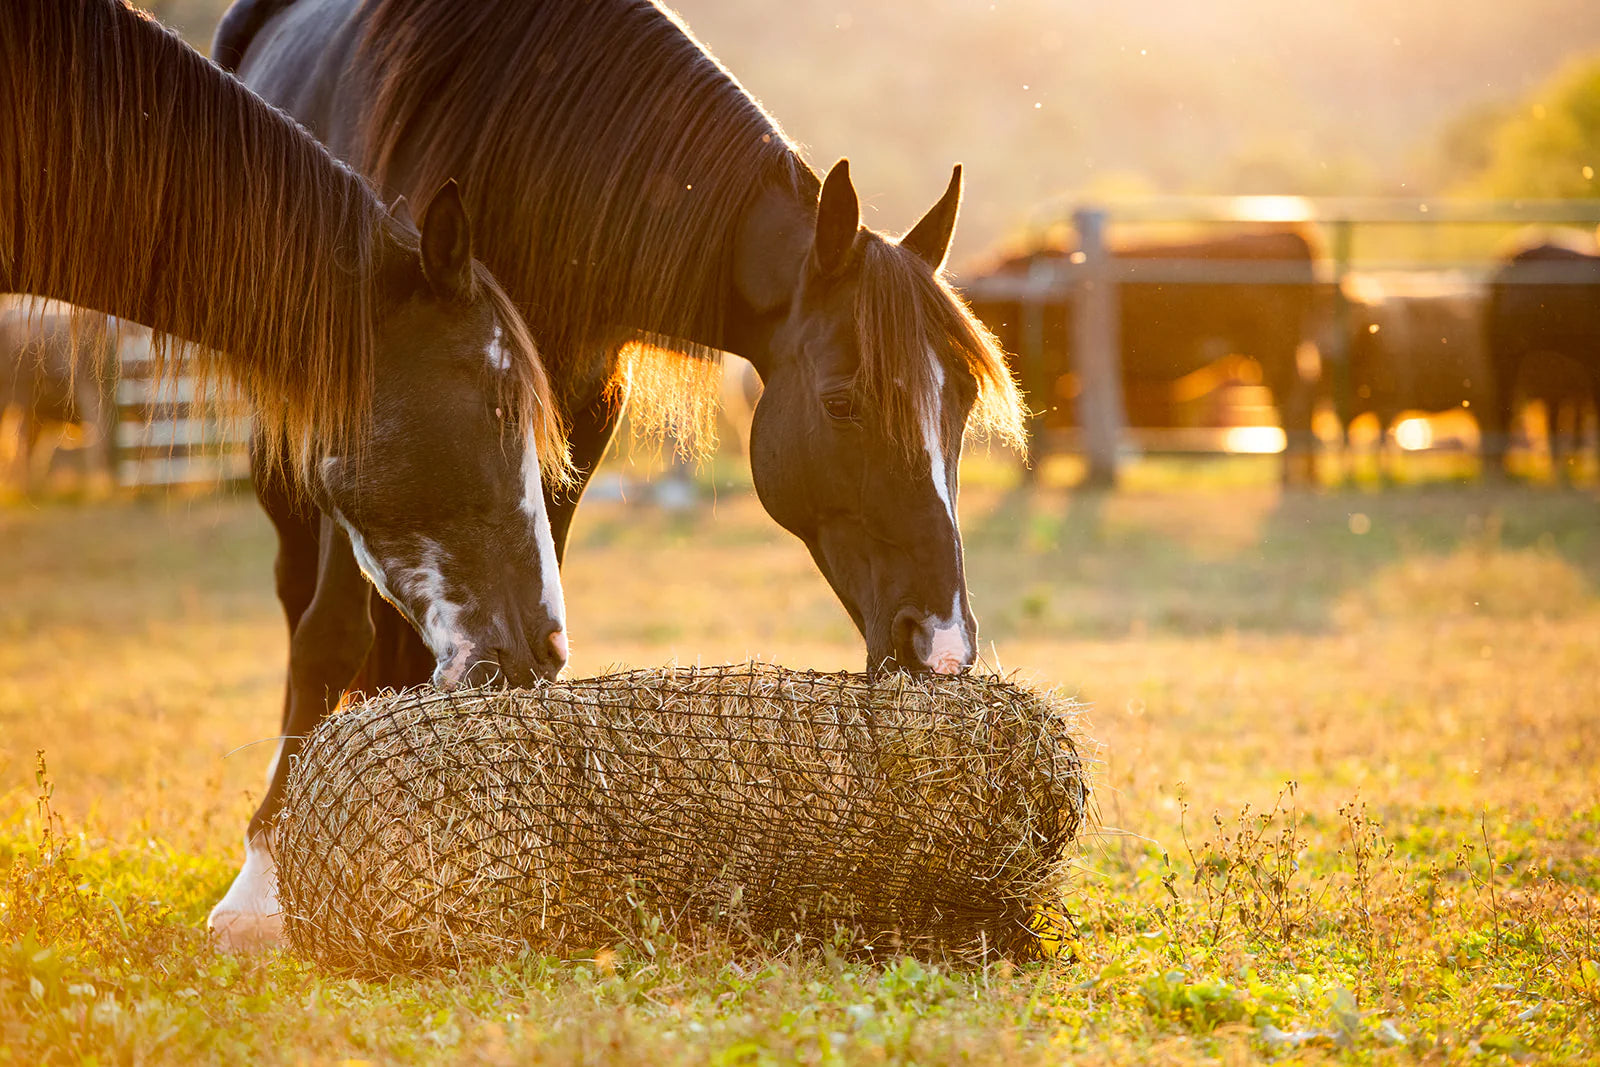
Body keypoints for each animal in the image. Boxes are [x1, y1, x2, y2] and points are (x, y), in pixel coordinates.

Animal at [953, 231, 1318, 483]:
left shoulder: (1049, 366)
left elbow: (1035, 420)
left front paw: (1031, 475)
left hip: (1276, 353)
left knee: (1293, 406)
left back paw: (1290, 478)